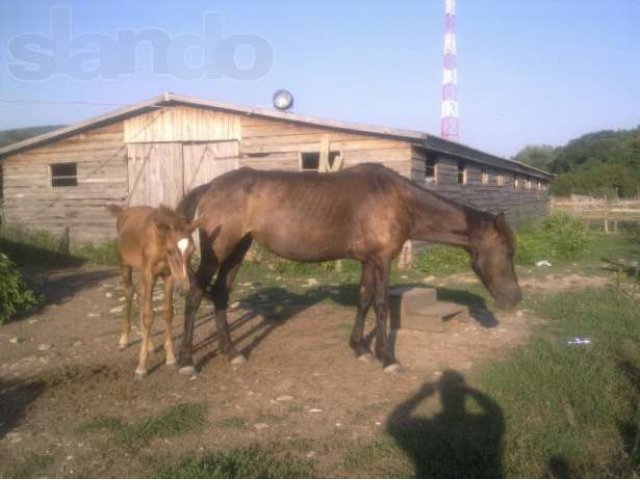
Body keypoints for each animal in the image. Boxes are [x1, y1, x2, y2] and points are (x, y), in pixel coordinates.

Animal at [107, 205, 199, 378]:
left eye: (193, 250)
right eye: (171, 250)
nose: (184, 288)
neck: (159, 243)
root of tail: (123, 211)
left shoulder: (168, 275)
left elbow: (167, 312)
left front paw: (170, 357)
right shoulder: (149, 273)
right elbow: (148, 315)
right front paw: (141, 367)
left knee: (141, 297)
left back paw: (149, 344)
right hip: (125, 265)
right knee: (129, 294)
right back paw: (124, 340)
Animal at [174, 163, 520, 374]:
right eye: (508, 252)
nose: (513, 300)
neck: (399, 201)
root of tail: (209, 187)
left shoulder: (368, 261)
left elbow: (363, 300)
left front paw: (359, 348)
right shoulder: (382, 260)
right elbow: (380, 305)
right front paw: (387, 358)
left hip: (238, 250)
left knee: (220, 294)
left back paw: (231, 352)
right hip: (218, 252)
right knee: (194, 296)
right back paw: (187, 360)